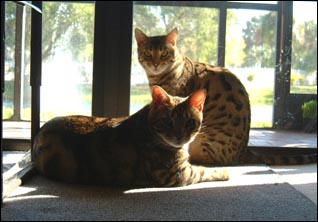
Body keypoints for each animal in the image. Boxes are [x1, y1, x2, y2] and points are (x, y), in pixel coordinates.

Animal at [33, 86, 229, 186]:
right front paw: (223, 172)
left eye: (189, 122)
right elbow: (202, 171)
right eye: (167, 122)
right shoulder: (176, 173)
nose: (180, 137)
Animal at [135, 26, 318, 166]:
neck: (158, 78)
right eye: (148, 53)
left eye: (164, 53)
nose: (155, 64)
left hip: (204, 140)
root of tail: (244, 151)